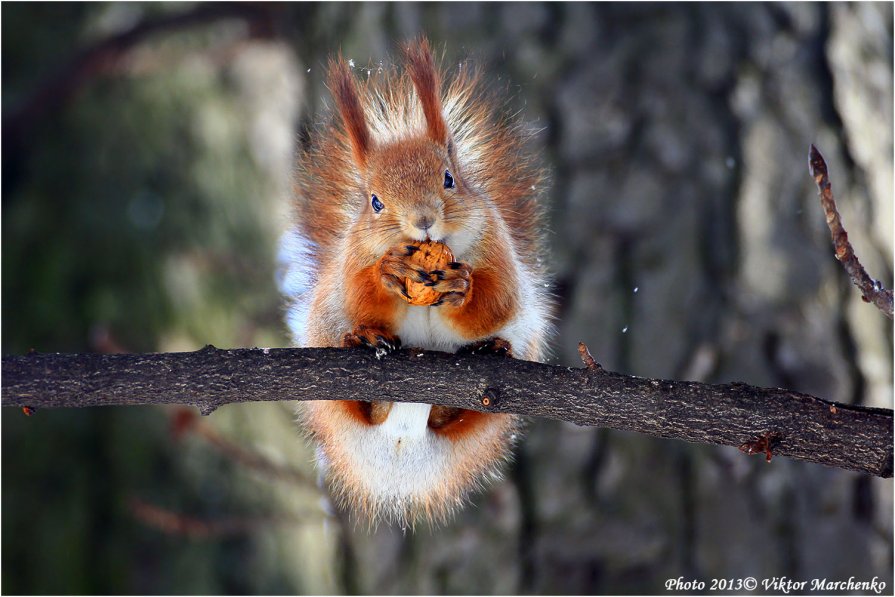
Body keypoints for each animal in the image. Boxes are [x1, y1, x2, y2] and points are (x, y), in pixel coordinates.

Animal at [284, 37, 552, 524]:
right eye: (374, 201)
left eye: (449, 179)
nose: (423, 221)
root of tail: (400, 448)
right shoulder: (351, 260)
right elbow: (359, 296)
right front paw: (386, 274)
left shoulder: (496, 244)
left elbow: (498, 301)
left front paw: (463, 290)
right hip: (325, 337)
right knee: (358, 404)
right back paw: (364, 351)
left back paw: (481, 360)